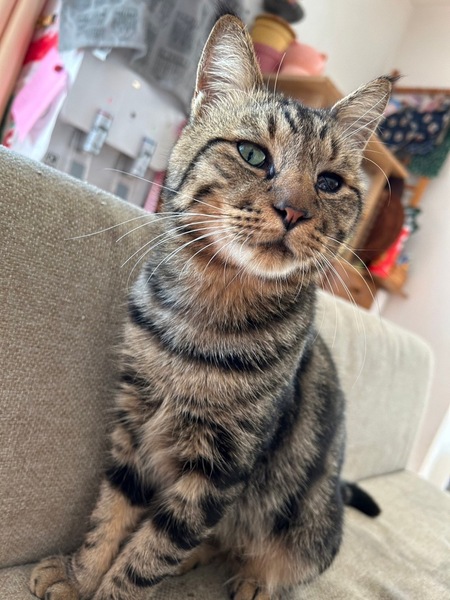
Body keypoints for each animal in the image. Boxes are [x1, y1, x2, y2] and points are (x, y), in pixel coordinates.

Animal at [30, 14, 393, 600]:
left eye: (330, 183)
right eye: (253, 154)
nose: (294, 210)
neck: (207, 310)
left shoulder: (220, 469)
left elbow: (151, 551)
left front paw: (111, 585)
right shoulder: (133, 427)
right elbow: (112, 513)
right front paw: (79, 573)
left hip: (309, 524)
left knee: (271, 556)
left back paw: (253, 580)